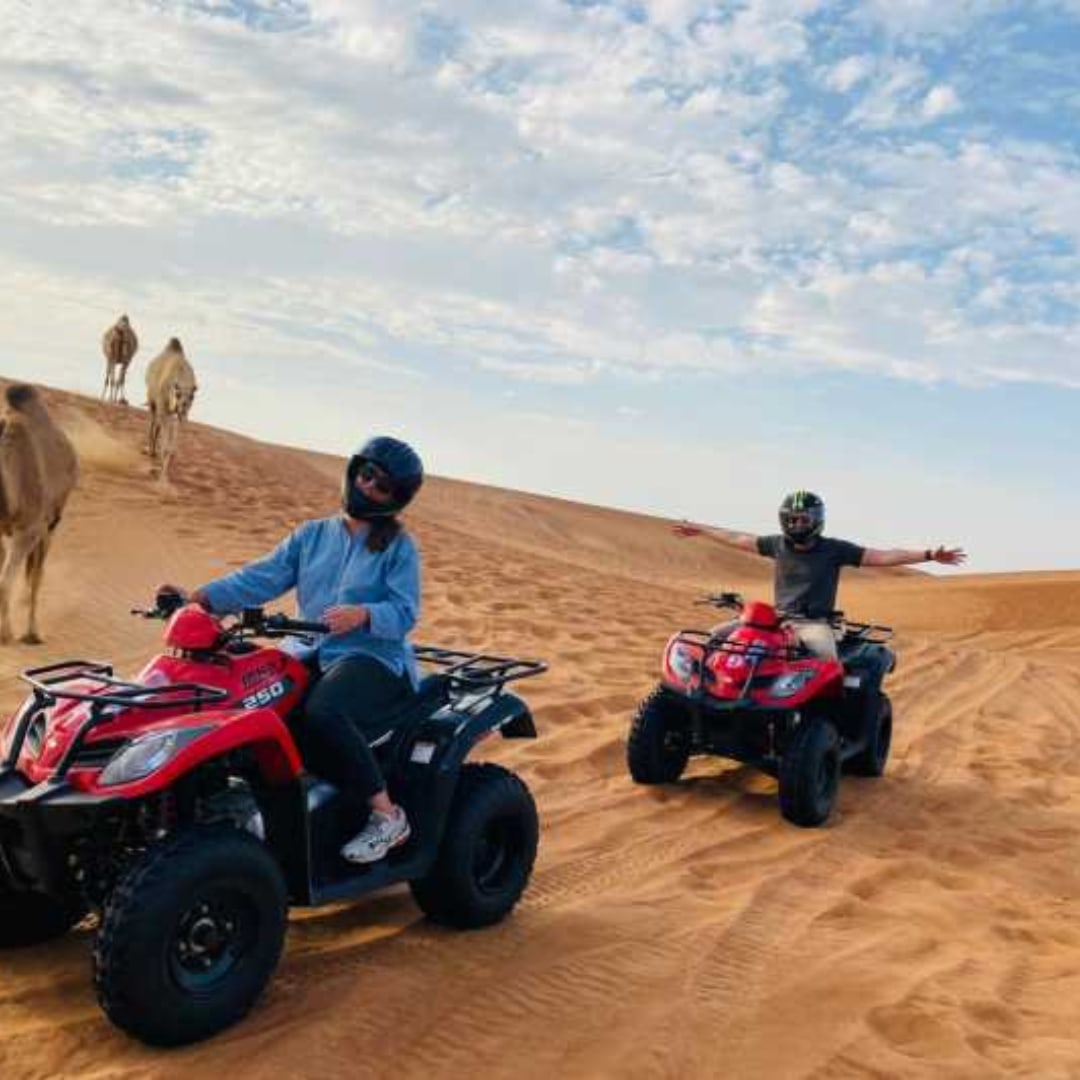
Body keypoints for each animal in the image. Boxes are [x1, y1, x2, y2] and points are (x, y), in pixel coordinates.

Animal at [0, 386, 78, 643]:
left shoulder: (29, 530)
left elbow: (5, 582)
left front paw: (6, 633)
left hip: (51, 524)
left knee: (37, 575)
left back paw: (32, 632)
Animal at [144, 336, 197, 486]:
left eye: (192, 397)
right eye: (178, 394)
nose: (183, 407)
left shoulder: (176, 416)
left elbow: (171, 446)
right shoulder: (163, 406)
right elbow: (166, 445)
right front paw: (162, 479)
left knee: (157, 425)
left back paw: (153, 451)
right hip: (152, 402)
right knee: (152, 423)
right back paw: (150, 450)